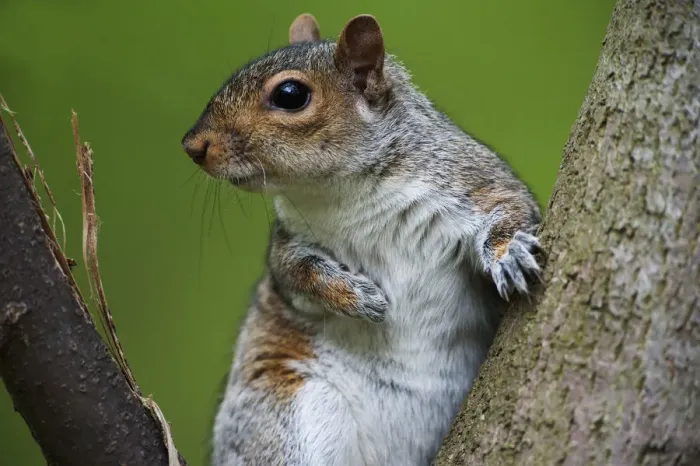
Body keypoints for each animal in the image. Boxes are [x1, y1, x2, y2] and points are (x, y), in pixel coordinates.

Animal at [182, 12, 543, 466]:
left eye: (289, 94)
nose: (193, 145)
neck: (346, 194)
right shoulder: (285, 247)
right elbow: (298, 273)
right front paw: (356, 297)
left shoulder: (474, 181)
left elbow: (510, 208)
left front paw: (507, 253)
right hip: (287, 412)